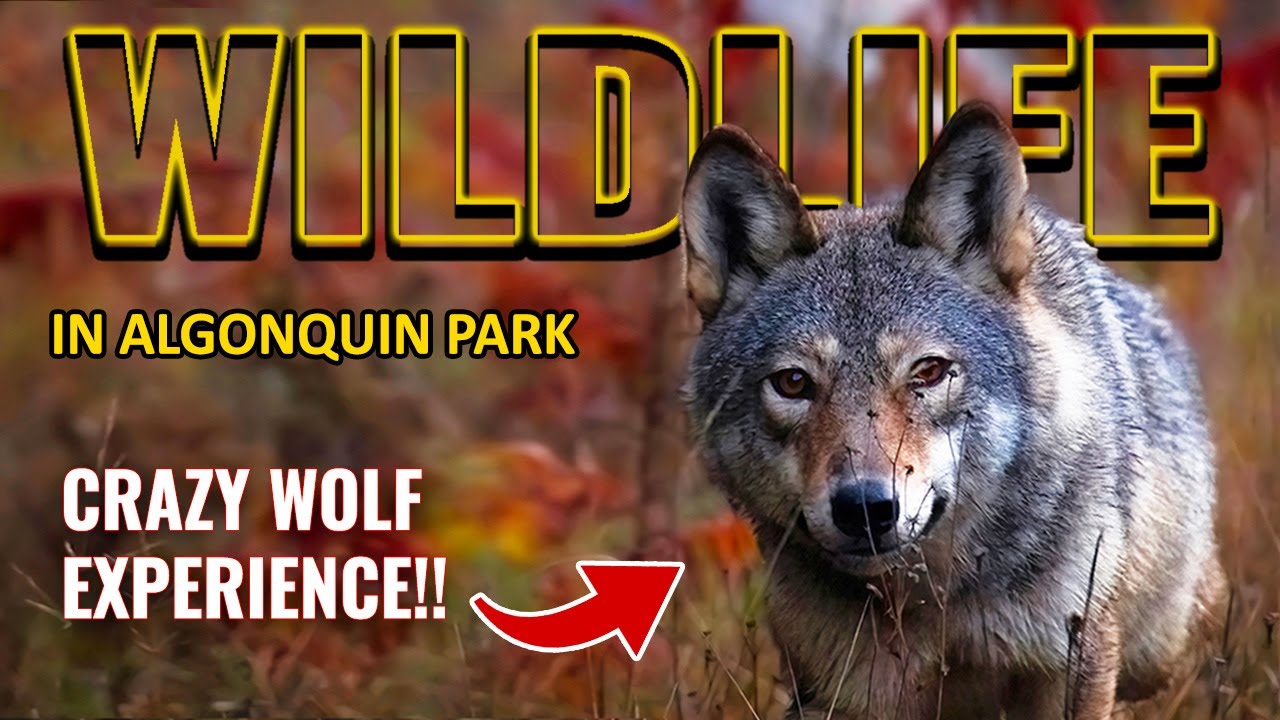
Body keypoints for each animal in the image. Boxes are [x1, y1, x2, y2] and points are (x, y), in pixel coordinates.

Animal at [679, 101, 1225, 719]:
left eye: (929, 372)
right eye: (793, 383)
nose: (864, 508)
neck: (937, 604)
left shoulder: (1072, 665)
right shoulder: (844, 692)